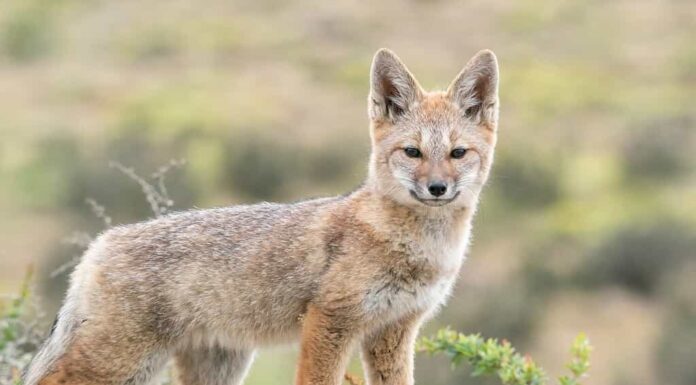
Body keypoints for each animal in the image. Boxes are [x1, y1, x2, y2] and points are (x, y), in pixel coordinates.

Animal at [24, 48, 498, 384]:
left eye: (457, 153)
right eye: (412, 152)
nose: (437, 189)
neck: (417, 248)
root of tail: (102, 241)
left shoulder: (394, 331)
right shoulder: (330, 321)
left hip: (214, 366)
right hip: (120, 361)